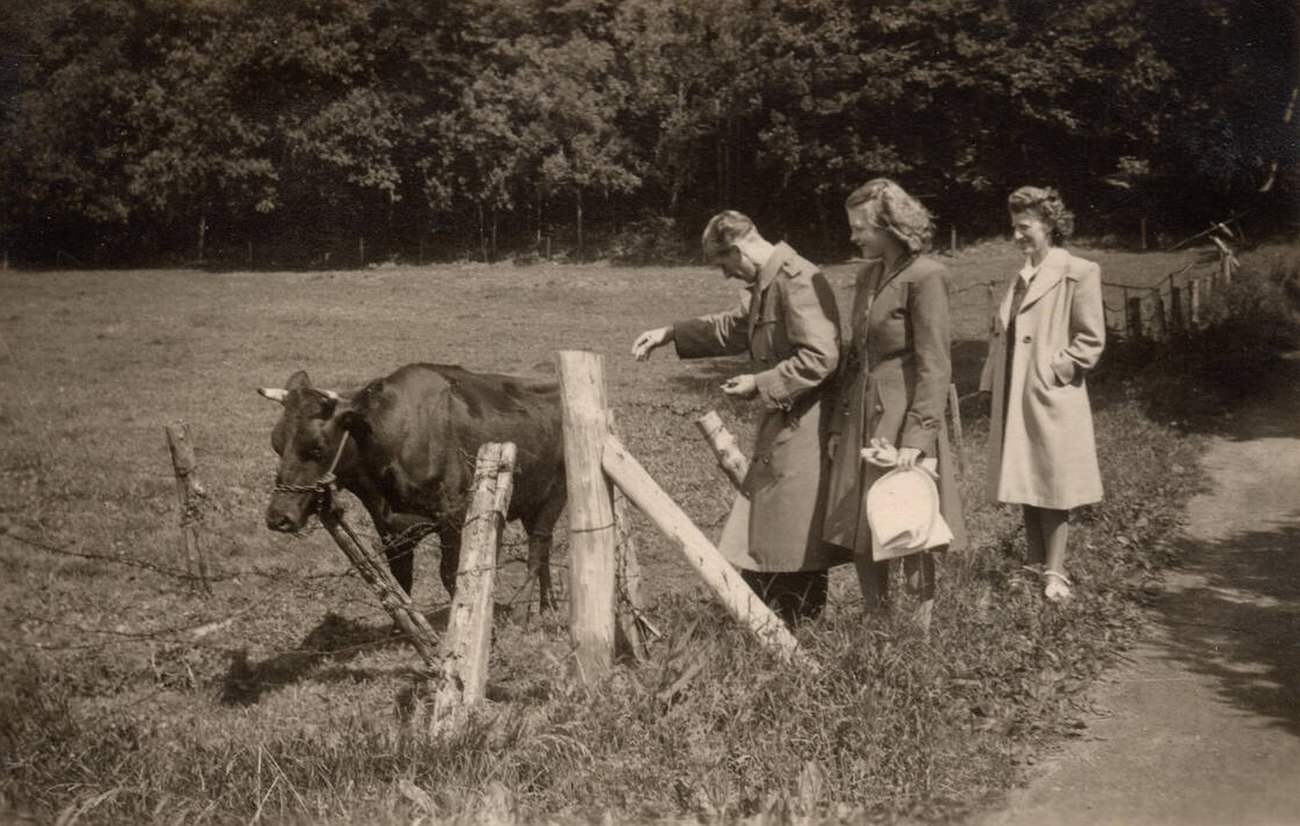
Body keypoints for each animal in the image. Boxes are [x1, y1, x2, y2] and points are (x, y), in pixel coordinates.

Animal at [260, 364, 569, 611]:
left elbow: (451, 575)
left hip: (556, 495)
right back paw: (546, 606)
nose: (279, 517)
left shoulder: (455, 518)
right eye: (275, 444)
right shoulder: (391, 529)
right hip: (530, 502)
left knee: (538, 547)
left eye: (317, 447)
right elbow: (401, 582)